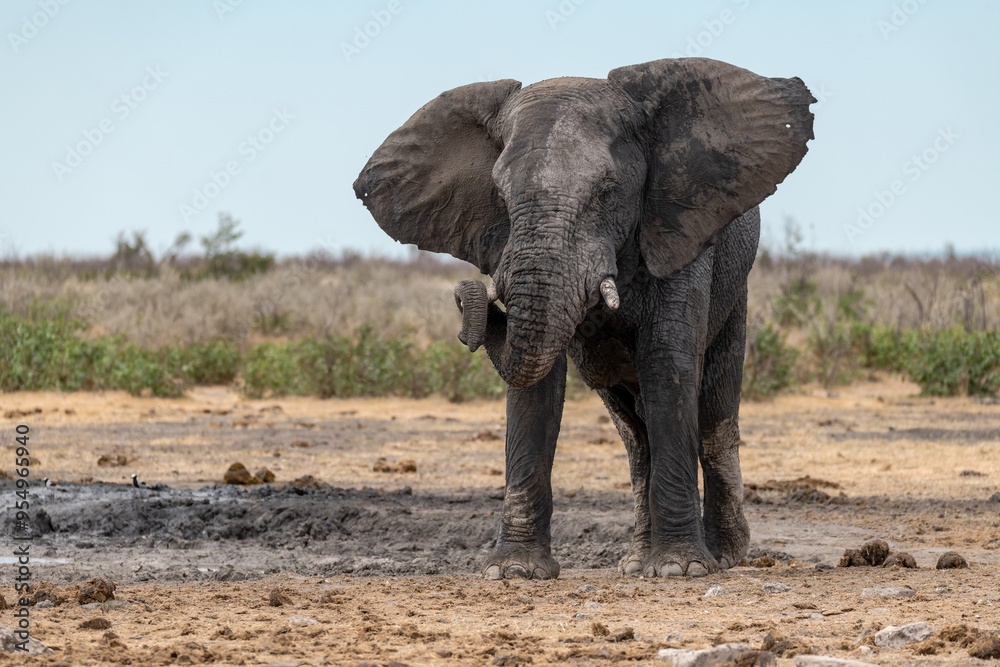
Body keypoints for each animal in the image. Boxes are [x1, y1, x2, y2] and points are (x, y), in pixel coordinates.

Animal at [354, 57, 814, 579]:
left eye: (608, 191)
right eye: (499, 194)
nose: (469, 295)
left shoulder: (680, 228)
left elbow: (668, 364)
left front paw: (682, 570)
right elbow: (537, 384)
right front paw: (515, 572)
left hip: (736, 291)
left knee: (713, 410)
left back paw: (725, 555)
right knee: (634, 435)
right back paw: (635, 563)